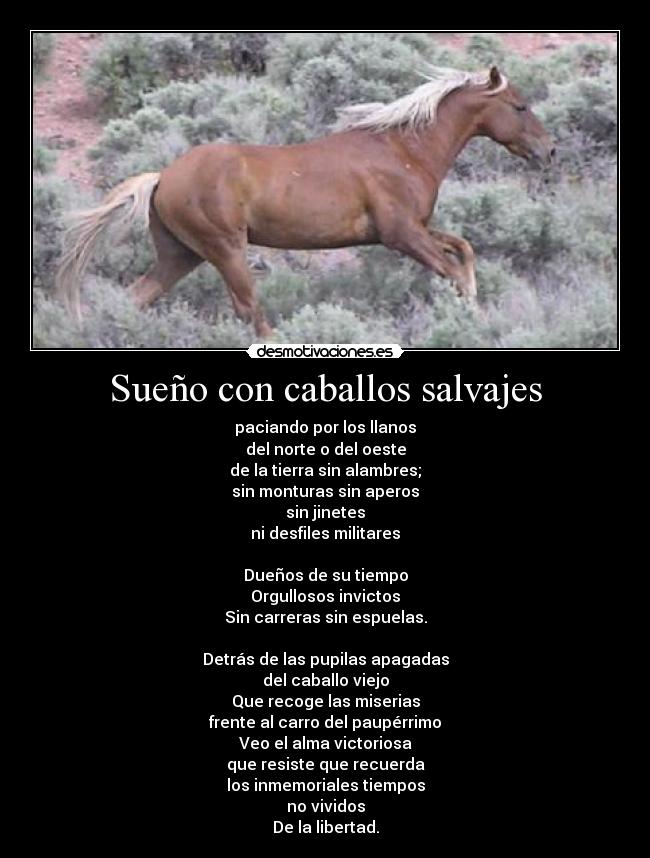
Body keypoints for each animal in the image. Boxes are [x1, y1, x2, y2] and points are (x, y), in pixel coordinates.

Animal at [56, 65, 554, 338]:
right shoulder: (401, 235)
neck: (403, 149)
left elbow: (464, 251)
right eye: (520, 106)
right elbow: (451, 269)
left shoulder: (412, 228)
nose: (549, 151)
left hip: (181, 255)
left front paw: (475, 307)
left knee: (137, 298)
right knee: (250, 311)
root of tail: (163, 177)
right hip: (225, 250)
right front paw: (471, 315)